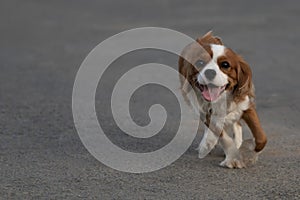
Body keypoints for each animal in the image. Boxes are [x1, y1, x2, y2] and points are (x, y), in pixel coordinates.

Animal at [178, 31, 268, 169]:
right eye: (200, 63)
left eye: (225, 65)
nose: (210, 72)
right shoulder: (207, 112)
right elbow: (223, 137)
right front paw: (233, 158)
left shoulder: (246, 106)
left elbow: (261, 137)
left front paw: (249, 150)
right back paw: (208, 143)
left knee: (236, 123)